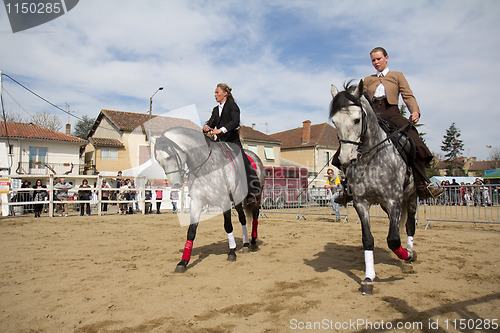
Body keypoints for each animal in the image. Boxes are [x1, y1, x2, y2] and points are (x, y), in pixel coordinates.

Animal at [155, 126, 266, 272]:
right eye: (158, 161)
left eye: (169, 157)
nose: (175, 184)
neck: (206, 166)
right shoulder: (197, 202)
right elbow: (191, 231)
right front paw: (183, 262)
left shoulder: (225, 202)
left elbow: (228, 226)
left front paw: (232, 252)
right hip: (237, 200)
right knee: (242, 219)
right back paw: (246, 244)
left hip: (256, 197)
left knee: (255, 216)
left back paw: (252, 242)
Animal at [330, 80, 416, 294]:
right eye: (334, 122)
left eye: (357, 120)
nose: (346, 159)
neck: (372, 159)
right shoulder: (362, 203)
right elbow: (368, 239)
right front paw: (369, 277)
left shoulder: (394, 200)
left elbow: (393, 239)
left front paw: (405, 255)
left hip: (411, 197)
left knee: (410, 225)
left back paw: (410, 255)